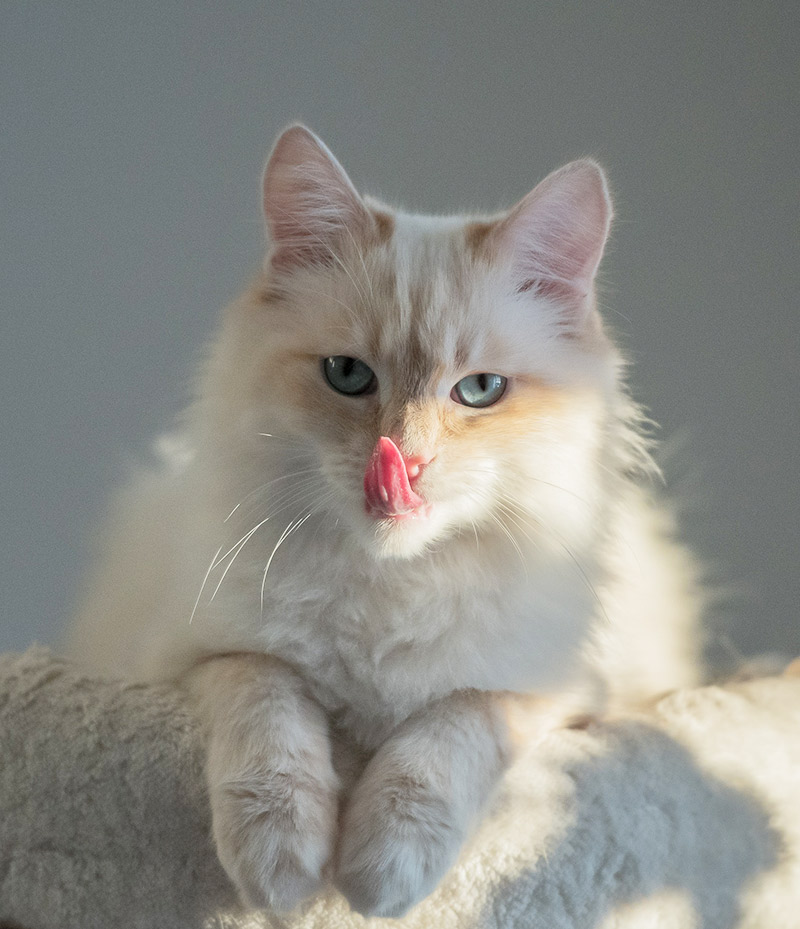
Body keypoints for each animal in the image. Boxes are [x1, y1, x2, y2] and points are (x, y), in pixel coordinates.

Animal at [72, 127, 704, 916]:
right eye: (347, 375)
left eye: (480, 390)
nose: (402, 460)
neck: (392, 585)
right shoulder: (196, 657)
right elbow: (269, 712)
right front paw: (283, 868)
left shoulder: (557, 694)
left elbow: (443, 738)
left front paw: (380, 874)